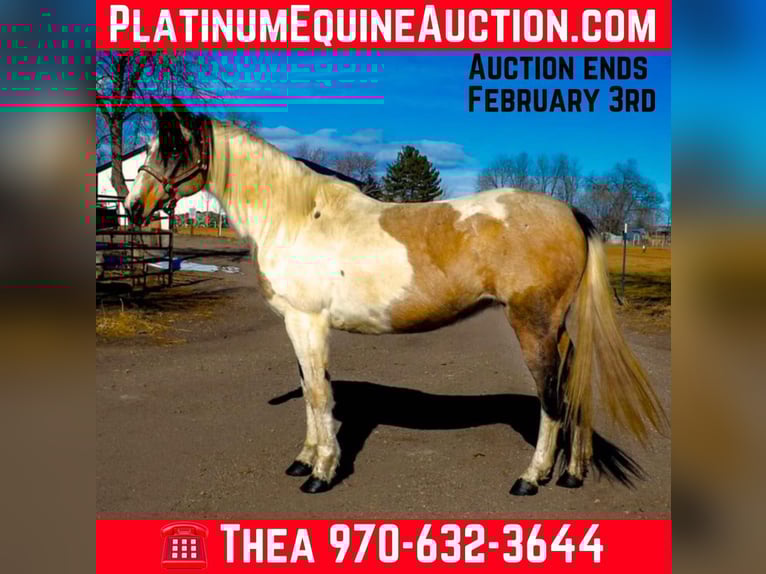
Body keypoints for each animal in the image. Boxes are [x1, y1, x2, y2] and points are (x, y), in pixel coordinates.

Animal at [125, 97, 667, 496]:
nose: (133, 206)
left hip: (533, 325)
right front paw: (304, 460)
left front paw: (322, 473)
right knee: (575, 383)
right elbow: (311, 391)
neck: (296, 217)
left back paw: (531, 479)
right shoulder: (296, 325)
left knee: (552, 397)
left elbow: (318, 394)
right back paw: (573, 472)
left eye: (171, 148)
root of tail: (570, 212)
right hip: (558, 326)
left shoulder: (307, 321)